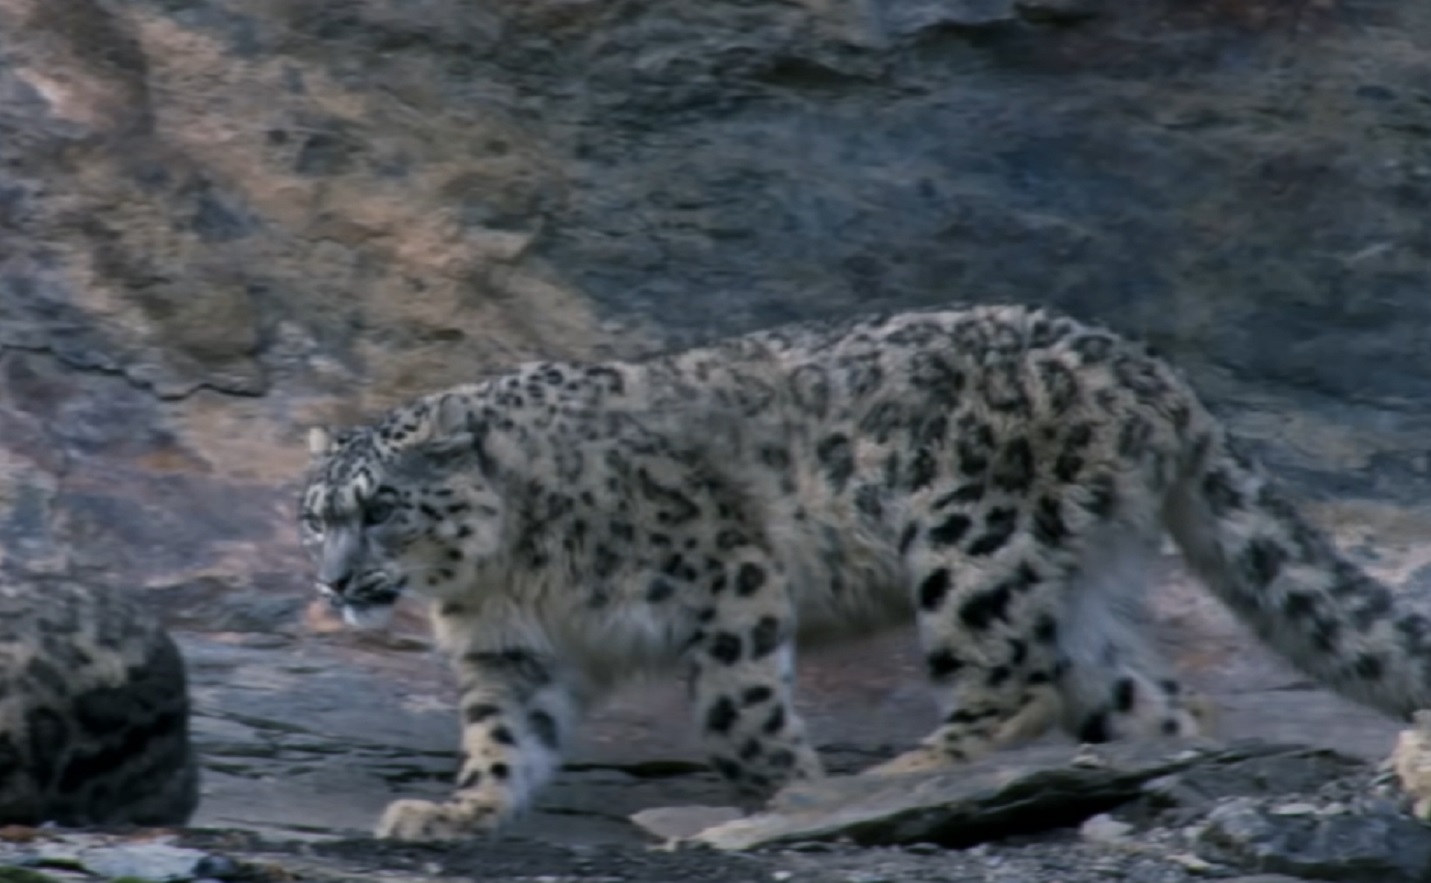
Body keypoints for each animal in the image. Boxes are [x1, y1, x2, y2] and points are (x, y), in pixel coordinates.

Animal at [299, 303, 1431, 841]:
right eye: (315, 519)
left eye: (381, 507)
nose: (337, 583)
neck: (505, 580)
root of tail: (1151, 370)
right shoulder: (511, 657)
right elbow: (503, 742)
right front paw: (453, 811)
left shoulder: (725, 573)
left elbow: (738, 709)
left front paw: (788, 792)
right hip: (1071, 582)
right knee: (1141, 695)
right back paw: (1150, 760)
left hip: (971, 542)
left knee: (1010, 681)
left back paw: (893, 777)